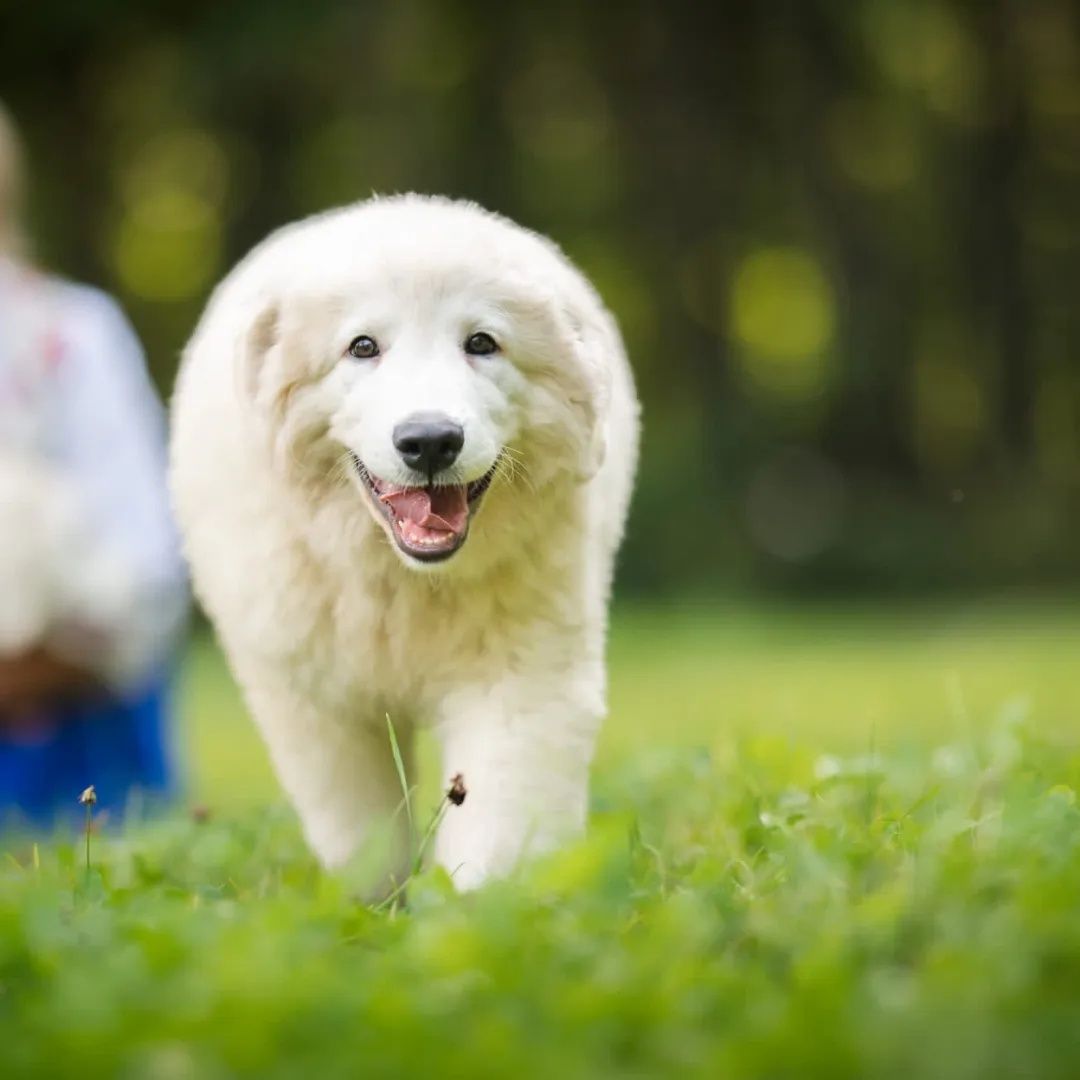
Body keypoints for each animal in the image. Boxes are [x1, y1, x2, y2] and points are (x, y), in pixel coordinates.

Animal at [171, 198, 635, 889]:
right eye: (362, 347)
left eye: (482, 343)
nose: (430, 441)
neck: (403, 577)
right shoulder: (318, 699)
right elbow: (361, 830)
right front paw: (376, 902)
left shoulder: (523, 671)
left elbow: (500, 813)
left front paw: (484, 905)